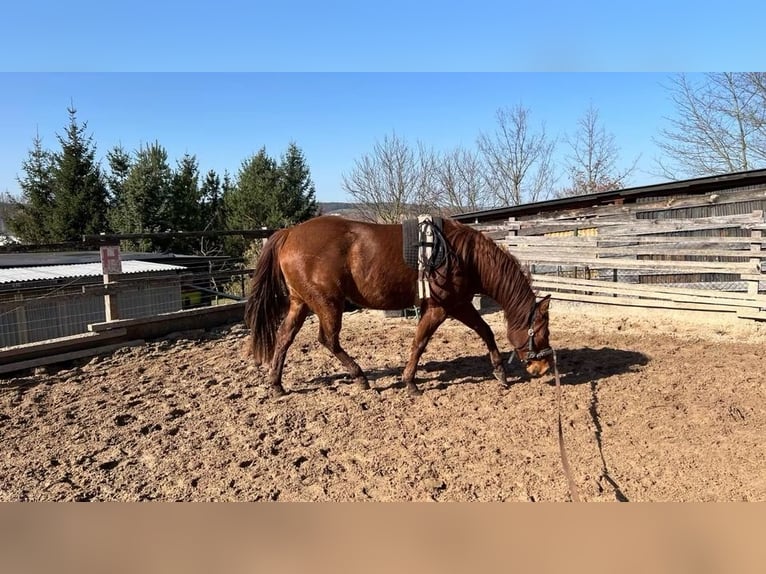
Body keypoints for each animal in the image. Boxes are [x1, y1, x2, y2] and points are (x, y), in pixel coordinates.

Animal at [244, 215, 553, 397]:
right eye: (542, 331)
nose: (543, 368)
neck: (465, 256)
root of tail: (290, 232)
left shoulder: (459, 304)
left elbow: (485, 331)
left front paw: (500, 372)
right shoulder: (441, 308)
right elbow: (420, 342)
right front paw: (410, 382)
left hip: (301, 303)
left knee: (284, 337)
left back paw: (276, 385)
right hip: (327, 303)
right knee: (328, 339)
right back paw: (360, 377)